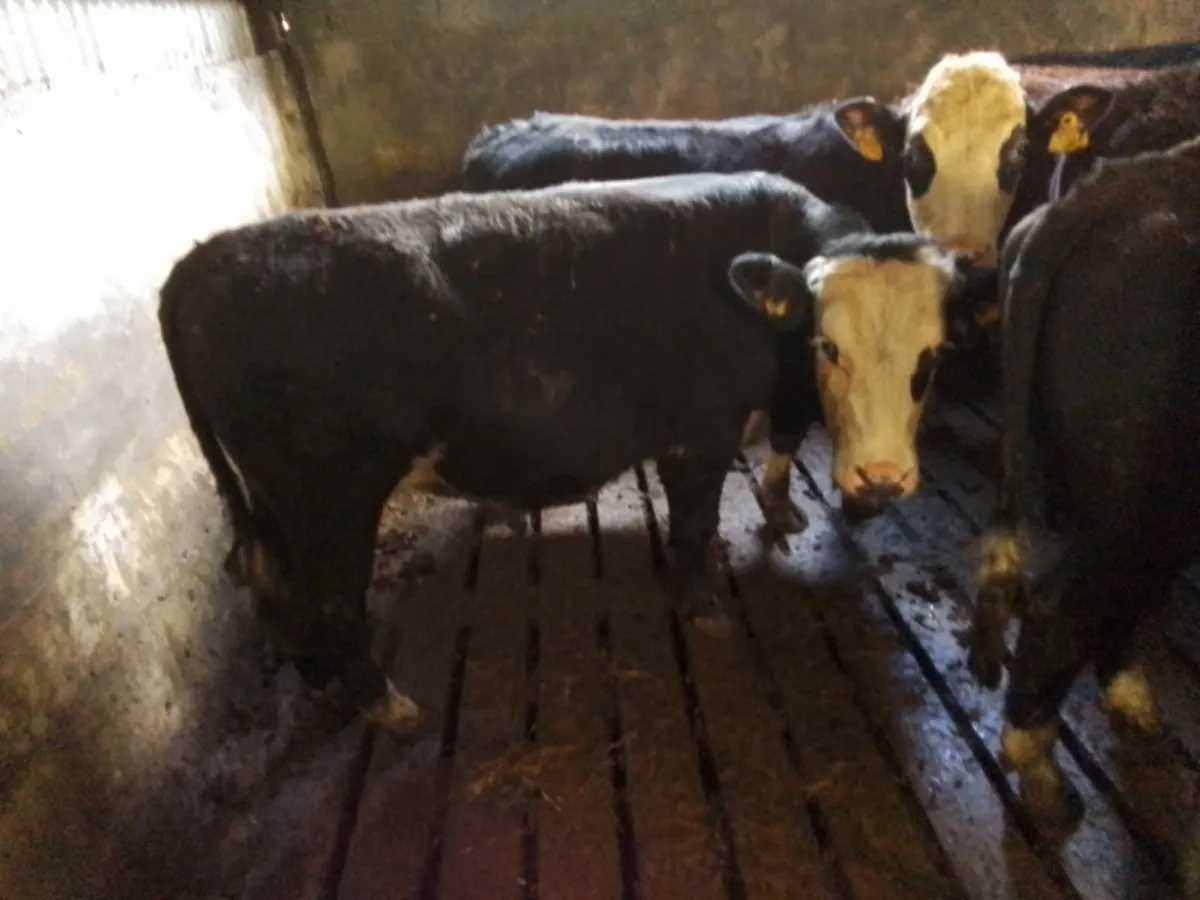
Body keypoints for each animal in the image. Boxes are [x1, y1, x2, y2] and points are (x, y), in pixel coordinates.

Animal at [158, 171, 983, 737]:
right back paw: (386, 705)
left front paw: (771, 516)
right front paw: (702, 604)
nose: (881, 477)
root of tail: (201, 262)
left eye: (934, 355)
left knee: (278, 580)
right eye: (828, 344)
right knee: (329, 599)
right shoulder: (699, 433)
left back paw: (320, 678)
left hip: (275, 499)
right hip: (329, 498)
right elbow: (691, 525)